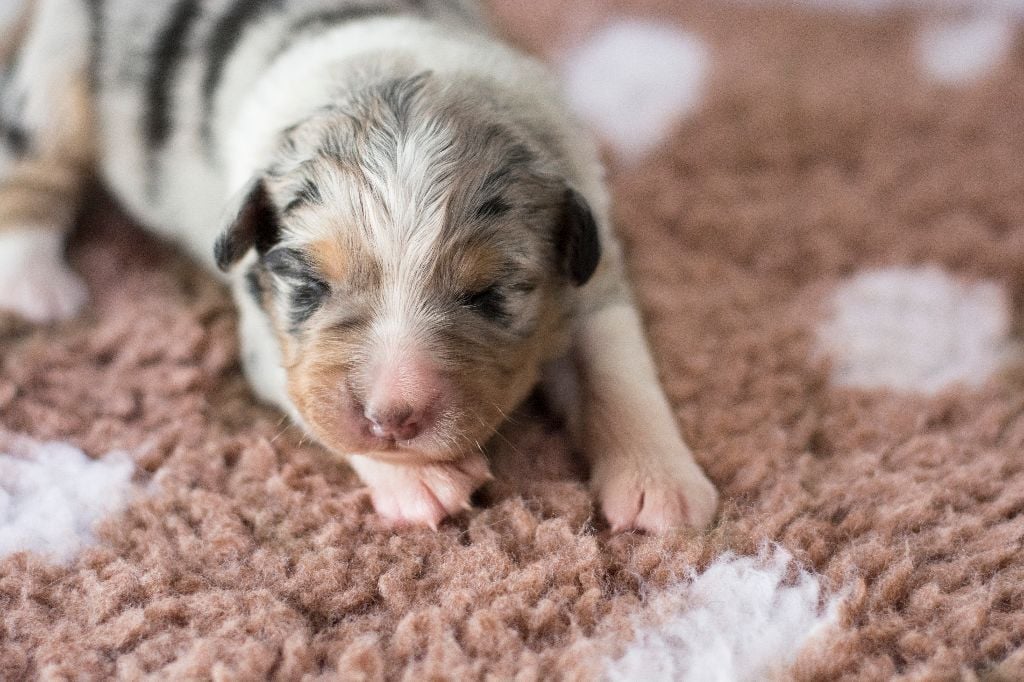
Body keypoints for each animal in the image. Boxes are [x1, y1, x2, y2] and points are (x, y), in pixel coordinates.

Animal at [2, 0, 720, 532]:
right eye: (311, 285)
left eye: (489, 293)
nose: (392, 417)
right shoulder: (267, 333)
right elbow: (315, 404)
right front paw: (419, 478)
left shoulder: (594, 272)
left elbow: (618, 368)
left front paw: (662, 484)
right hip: (59, 77)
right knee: (32, 163)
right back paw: (38, 284)